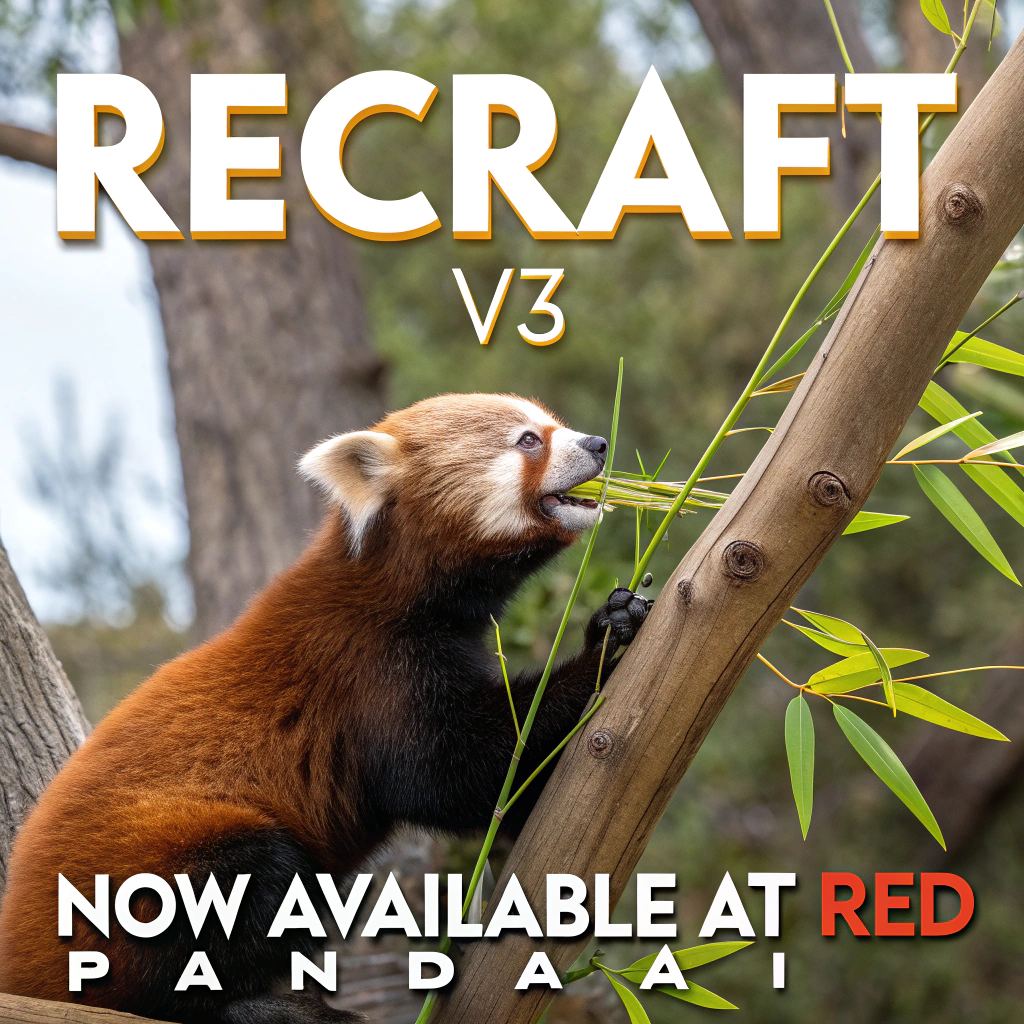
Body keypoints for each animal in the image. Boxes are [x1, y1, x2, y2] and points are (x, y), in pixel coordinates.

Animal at [0, 393, 651, 1023]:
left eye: (553, 422)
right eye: (528, 441)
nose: (598, 443)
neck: (401, 592)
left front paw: (618, 618)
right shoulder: (367, 668)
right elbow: (450, 774)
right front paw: (601, 652)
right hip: (148, 871)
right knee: (251, 877)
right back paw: (252, 1006)